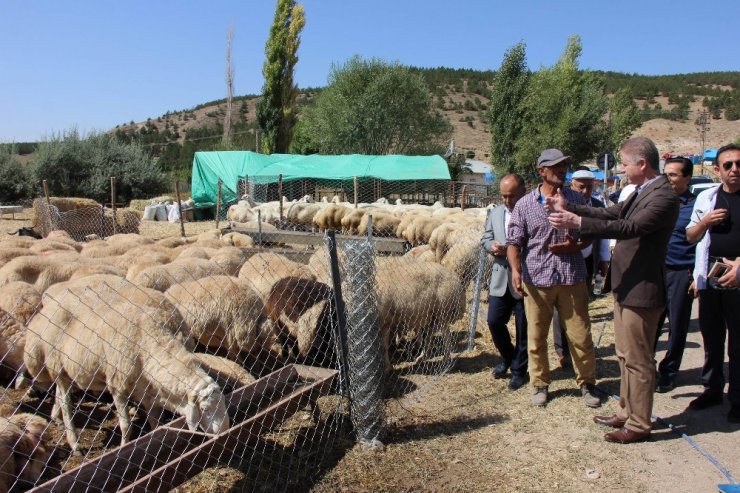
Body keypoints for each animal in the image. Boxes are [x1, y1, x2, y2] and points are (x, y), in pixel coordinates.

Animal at [25, 274, 228, 452]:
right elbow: (125, 425)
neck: (148, 341)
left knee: (60, 395)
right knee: (66, 403)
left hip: (66, 371)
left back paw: (57, 419)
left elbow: (156, 422)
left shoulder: (150, 393)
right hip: (57, 367)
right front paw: (124, 446)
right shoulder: (118, 387)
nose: (225, 432)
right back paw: (74, 443)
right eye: (205, 408)